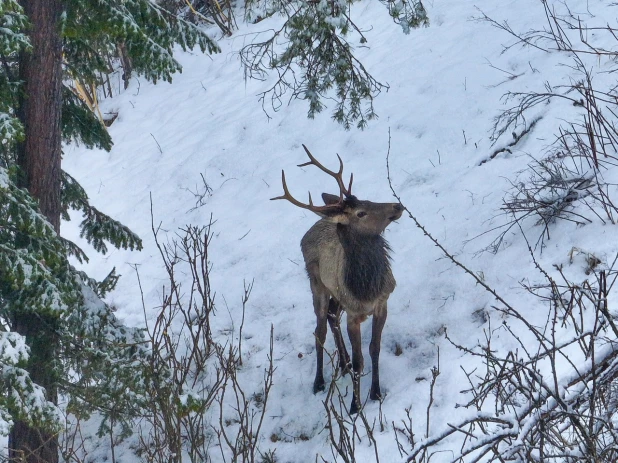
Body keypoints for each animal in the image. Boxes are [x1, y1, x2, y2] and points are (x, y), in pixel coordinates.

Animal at [272, 145, 402, 414]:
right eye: (361, 213)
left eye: (367, 199)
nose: (397, 206)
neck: (366, 287)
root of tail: (312, 228)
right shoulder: (354, 314)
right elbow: (360, 359)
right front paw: (354, 405)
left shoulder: (383, 302)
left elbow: (374, 349)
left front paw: (375, 393)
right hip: (316, 284)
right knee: (319, 329)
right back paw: (320, 380)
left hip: (336, 294)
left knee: (333, 315)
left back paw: (342, 363)